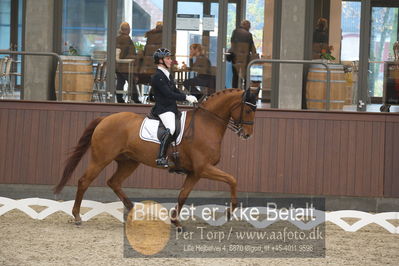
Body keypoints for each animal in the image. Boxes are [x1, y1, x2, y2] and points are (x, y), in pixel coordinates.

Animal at [53, 88, 260, 227]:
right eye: (249, 110)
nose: (248, 135)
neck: (206, 124)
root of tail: (105, 119)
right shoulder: (204, 168)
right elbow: (232, 179)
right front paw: (230, 211)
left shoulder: (194, 172)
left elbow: (183, 195)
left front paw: (176, 222)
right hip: (101, 159)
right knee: (84, 181)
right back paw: (77, 217)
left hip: (129, 162)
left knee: (114, 182)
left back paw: (134, 211)